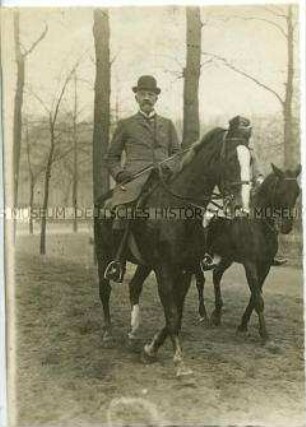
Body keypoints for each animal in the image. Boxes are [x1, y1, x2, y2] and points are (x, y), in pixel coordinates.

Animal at [94, 129, 224, 376]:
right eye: (233, 157)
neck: (180, 212)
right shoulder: (164, 269)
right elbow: (172, 314)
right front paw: (179, 362)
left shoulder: (186, 269)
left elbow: (177, 312)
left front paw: (150, 349)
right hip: (103, 253)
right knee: (104, 290)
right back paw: (106, 333)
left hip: (145, 263)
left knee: (134, 286)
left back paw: (133, 334)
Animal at [126, 162, 302, 342]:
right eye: (280, 191)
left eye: (297, 191)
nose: (287, 226)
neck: (258, 225)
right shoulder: (250, 264)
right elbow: (257, 298)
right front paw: (264, 334)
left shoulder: (265, 266)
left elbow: (255, 296)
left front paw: (243, 325)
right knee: (200, 280)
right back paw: (202, 313)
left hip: (226, 258)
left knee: (215, 275)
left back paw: (216, 314)